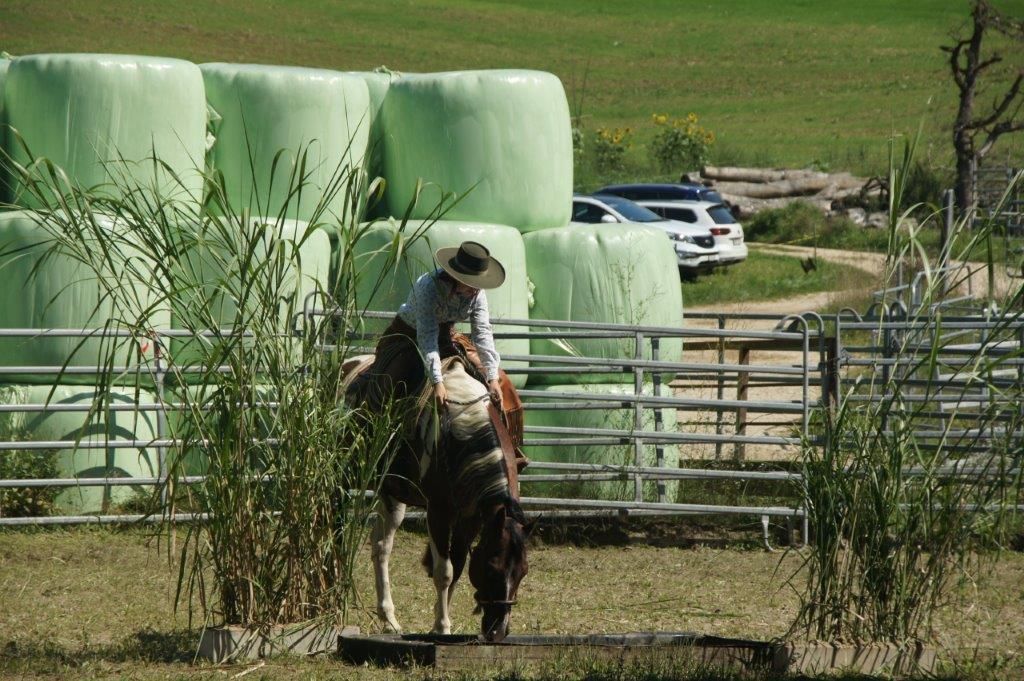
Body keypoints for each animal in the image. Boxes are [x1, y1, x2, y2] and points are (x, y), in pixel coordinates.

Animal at [345, 355, 533, 641]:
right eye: (491, 568)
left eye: (523, 572)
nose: (498, 631)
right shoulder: (438, 512)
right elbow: (444, 571)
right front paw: (443, 627)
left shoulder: (471, 517)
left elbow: (457, 564)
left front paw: (439, 622)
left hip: (392, 496)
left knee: (381, 547)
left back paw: (389, 619)